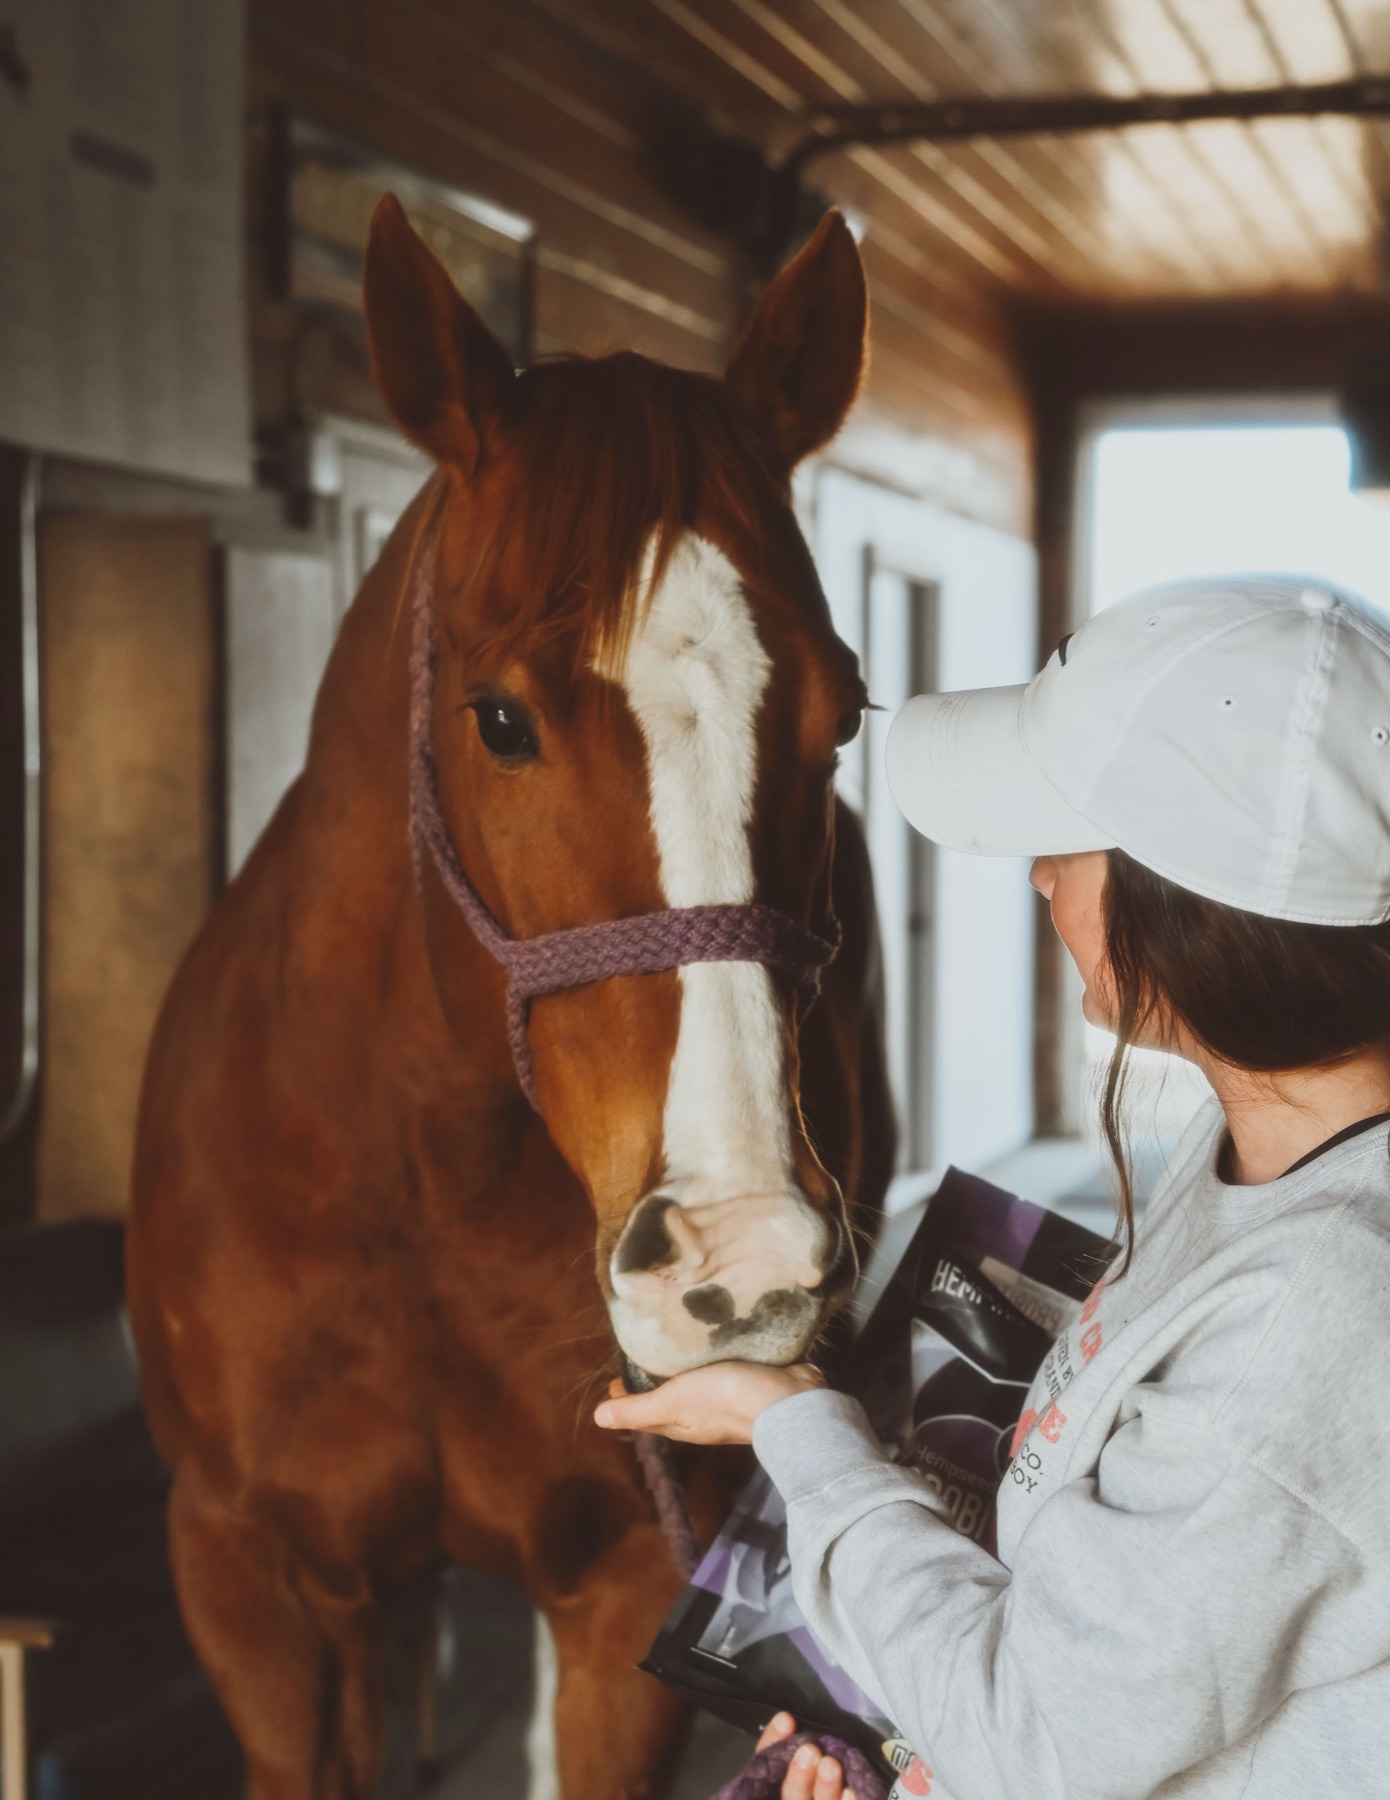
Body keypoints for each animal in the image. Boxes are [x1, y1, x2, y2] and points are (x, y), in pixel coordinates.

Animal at [125, 194, 894, 1800]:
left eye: (843, 713)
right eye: (499, 719)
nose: (739, 1257)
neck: (423, 1174)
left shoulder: (623, 1588)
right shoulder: (251, 1586)